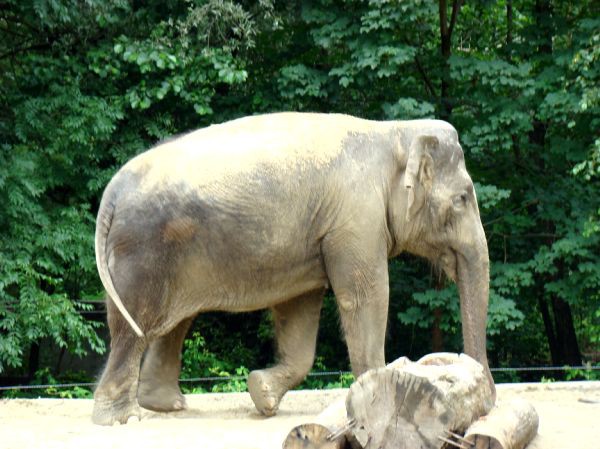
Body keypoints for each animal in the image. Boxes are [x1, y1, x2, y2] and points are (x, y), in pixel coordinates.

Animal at [90, 111, 492, 424]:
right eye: (462, 199)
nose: (487, 401)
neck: (394, 131)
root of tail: (111, 192)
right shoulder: (356, 219)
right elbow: (365, 295)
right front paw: (376, 395)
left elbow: (299, 309)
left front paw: (262, 393)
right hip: (142, 250)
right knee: (134, 323)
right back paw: (121, 419)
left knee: (174, 323)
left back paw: (167, 405)